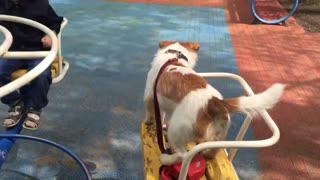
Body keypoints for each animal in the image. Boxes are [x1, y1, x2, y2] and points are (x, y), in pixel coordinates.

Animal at [144, 40, 284, 166]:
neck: (174, 57)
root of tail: (214, 103)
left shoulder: (149, 96)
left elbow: (150, 114)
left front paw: (148, 123)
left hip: (176, 130)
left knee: (182, 155)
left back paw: (166, 159)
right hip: (219, 135)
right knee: (212, 153)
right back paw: (205, 154)